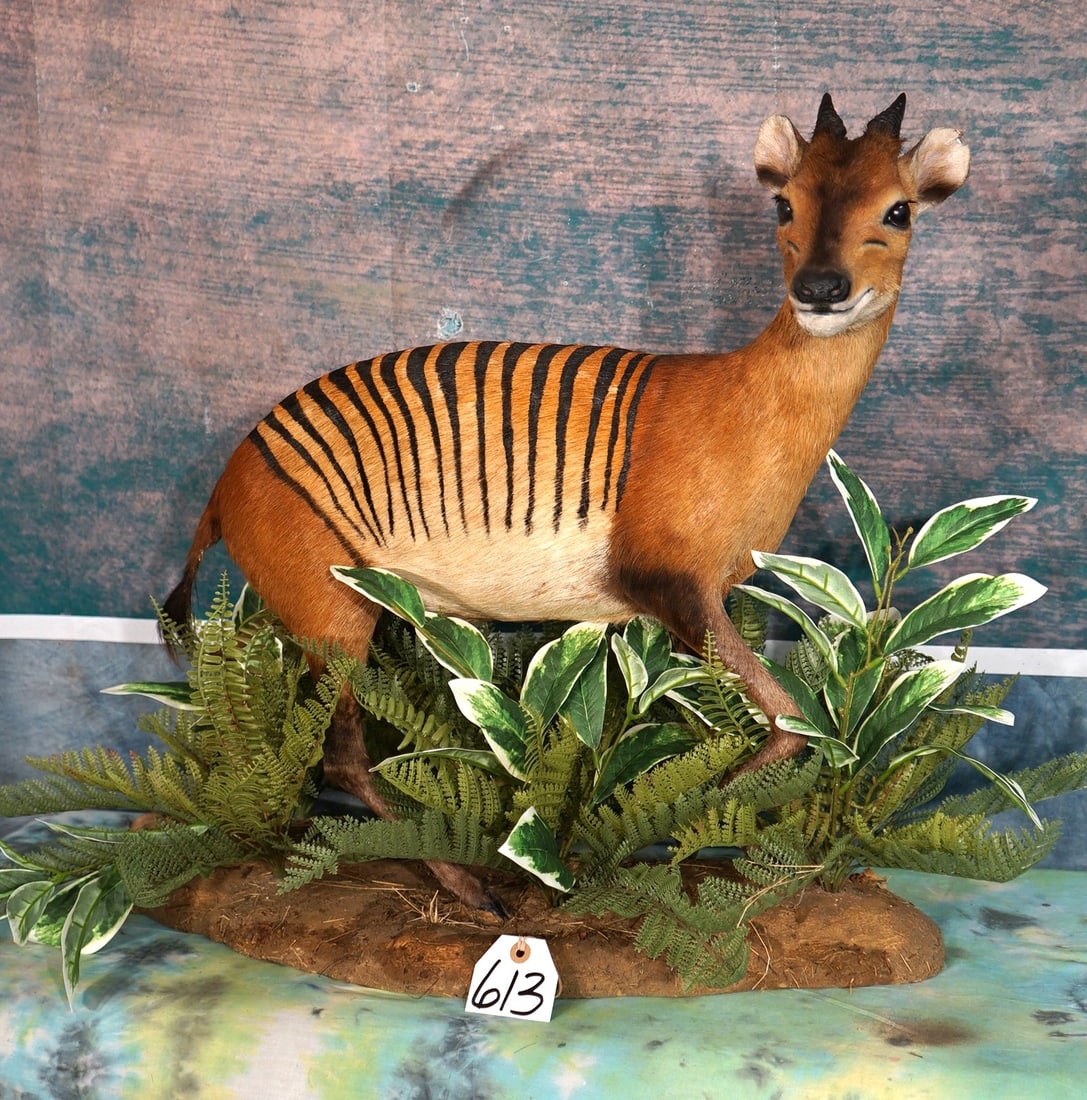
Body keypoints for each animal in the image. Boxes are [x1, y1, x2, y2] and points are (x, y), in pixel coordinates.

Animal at [164, 93, 970, 911]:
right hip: (332, 611)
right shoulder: (668, 585)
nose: (820, 289)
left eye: (899, 210)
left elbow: (778, 725)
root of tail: (224, 488)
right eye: (784, 204)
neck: (736, 402)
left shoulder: (663, 607)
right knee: (340, 759)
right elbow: (788, 725)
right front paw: (652, 839)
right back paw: (469, 887)